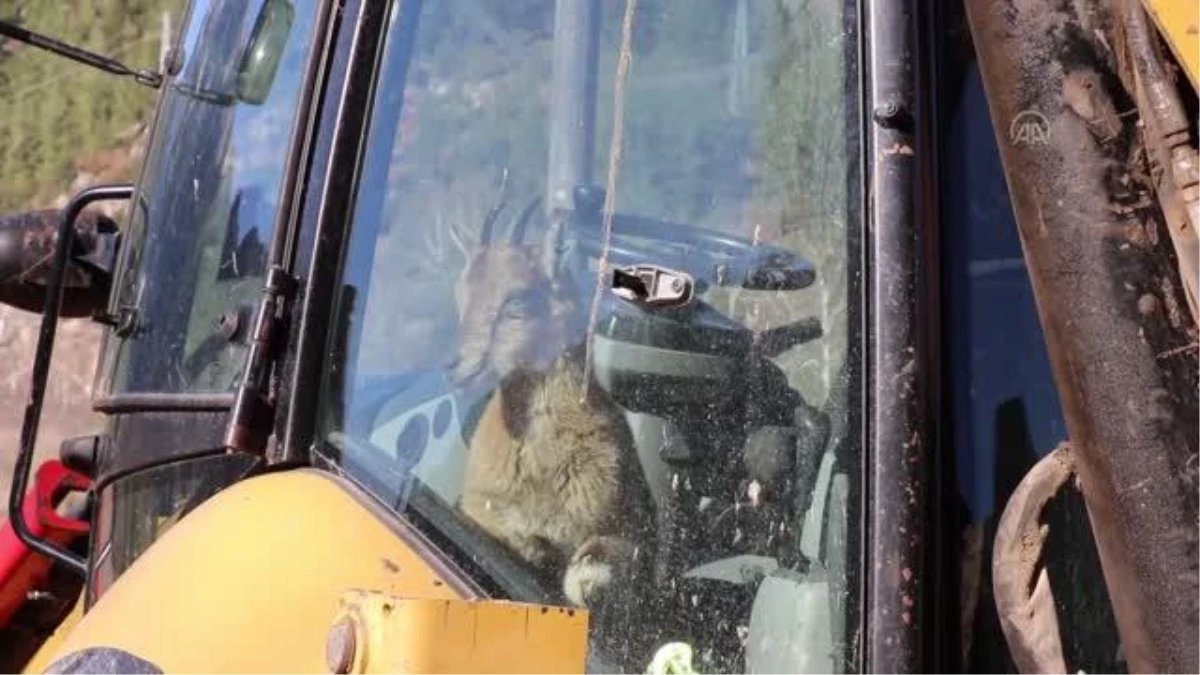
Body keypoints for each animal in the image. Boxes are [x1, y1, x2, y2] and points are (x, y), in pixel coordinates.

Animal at [451, 194, 657, 610]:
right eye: (459, 299)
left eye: (515, 303)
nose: (456, 369)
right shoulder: (480, 508)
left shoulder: (622, 530)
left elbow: (588, 570)